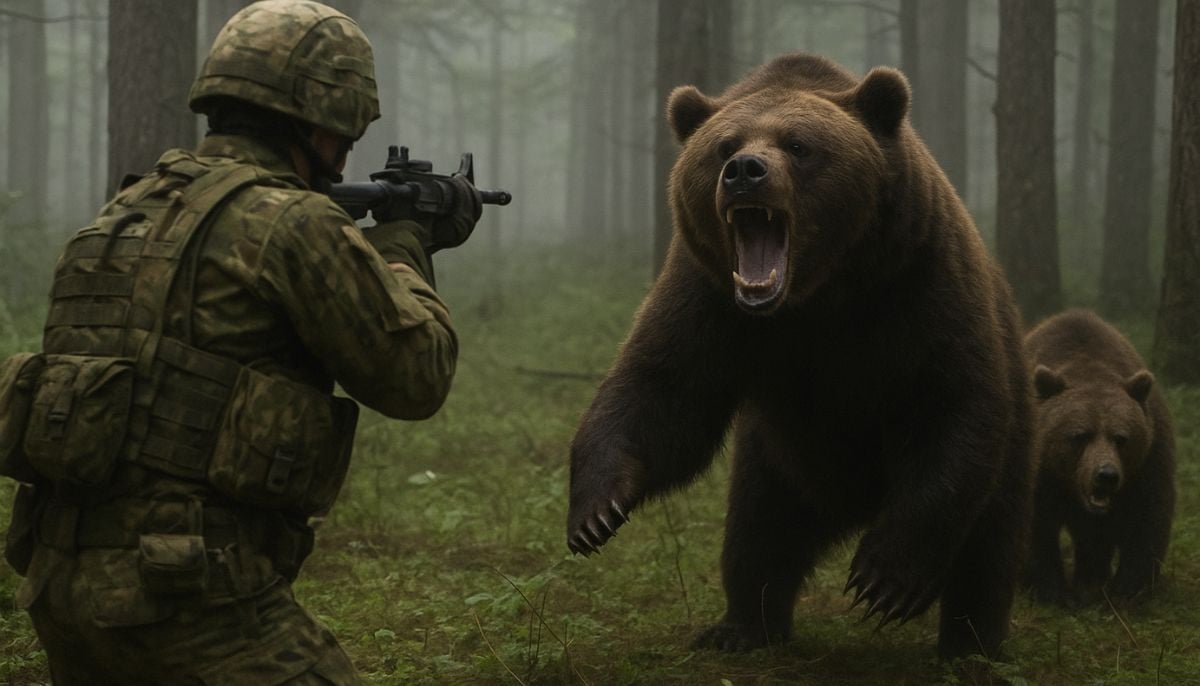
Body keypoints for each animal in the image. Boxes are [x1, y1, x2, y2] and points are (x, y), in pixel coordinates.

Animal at [565, 52, 1035, 661]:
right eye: (723, 145)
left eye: (798, 144)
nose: (744, 170)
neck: (816, 296)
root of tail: (852, 506)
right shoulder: (711, 302)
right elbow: (659, 389)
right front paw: (595, 512)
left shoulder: (919, 282)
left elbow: (952, 403)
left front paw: (884, 580)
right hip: (776, 460)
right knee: (759, 535)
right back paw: (741, 626)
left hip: (1015, 436)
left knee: (989, 549)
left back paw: (971, 644)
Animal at [1023, 309, 1176, 604]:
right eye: (1080, 435)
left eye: (1121, 438)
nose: (1106, 475)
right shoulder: (1038, 470)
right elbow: (1035, 524)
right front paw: (1051, 590)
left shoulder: (1147, 461)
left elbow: (1148, 516)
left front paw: (1126, 589)